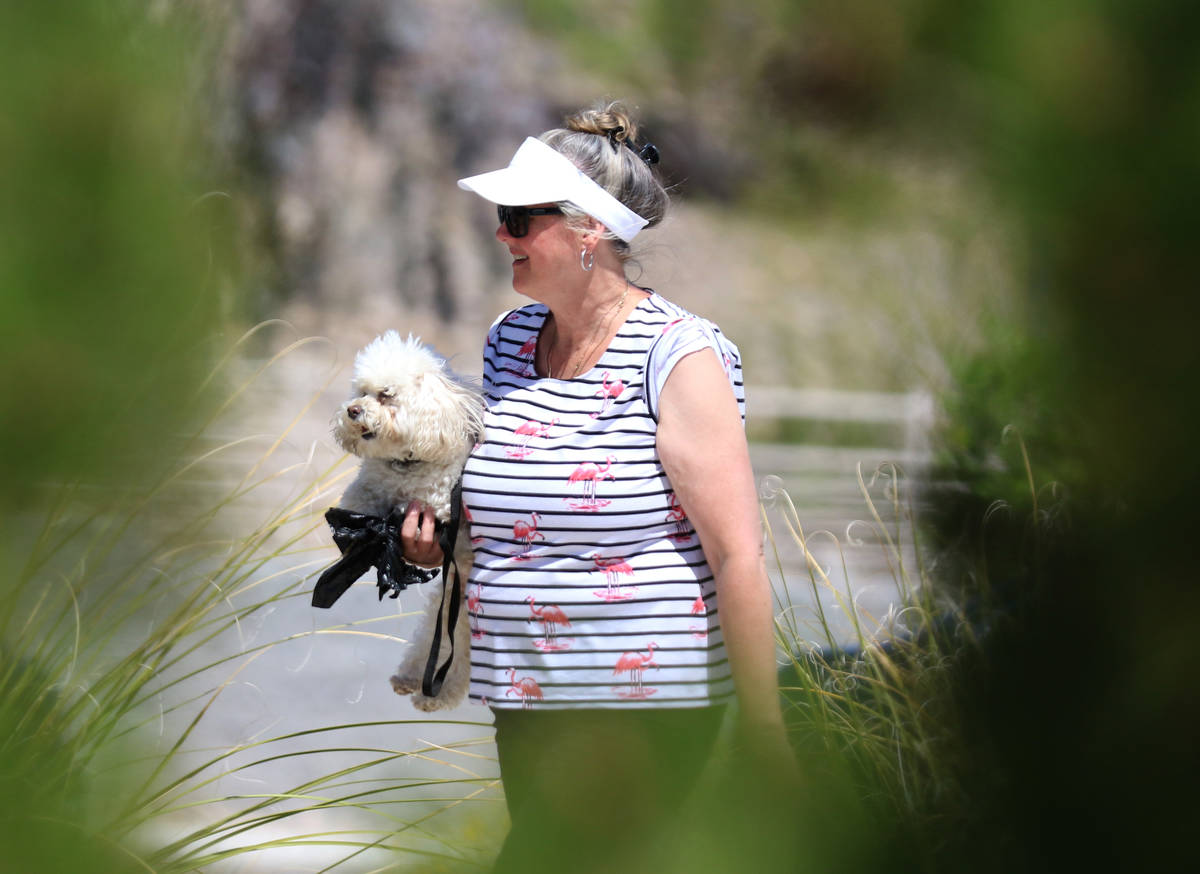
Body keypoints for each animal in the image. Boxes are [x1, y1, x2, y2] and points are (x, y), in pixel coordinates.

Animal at [328, 331, 482, 715]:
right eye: (361, 391)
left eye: (386, 394)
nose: (352, 410)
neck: (406, 466)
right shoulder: (369, 486)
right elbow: (359, 499)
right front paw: (357, 532)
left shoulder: (441, 514)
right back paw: (414, 680)